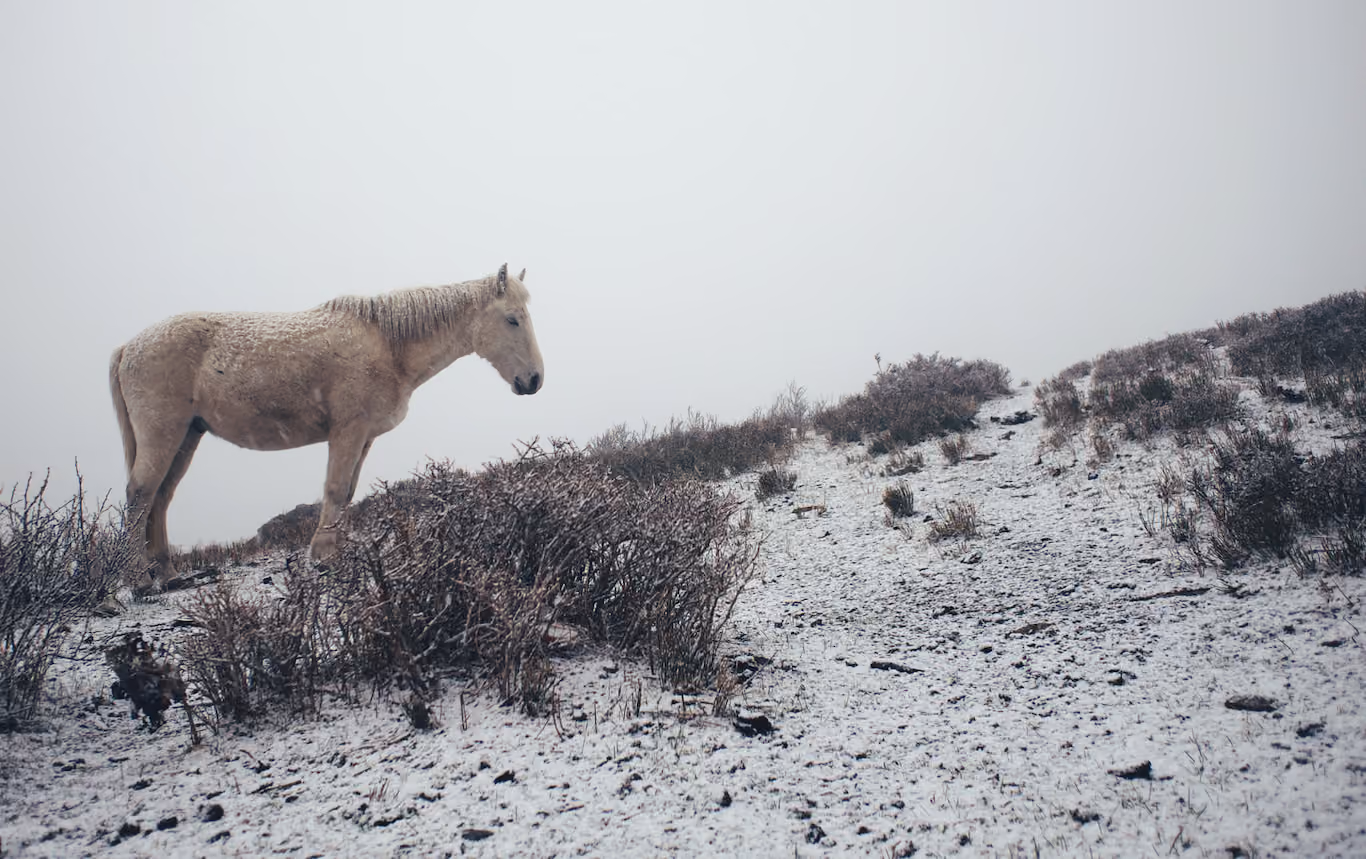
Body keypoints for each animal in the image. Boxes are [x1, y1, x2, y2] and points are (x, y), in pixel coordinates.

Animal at [110, 263, 544, 592]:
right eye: (512, 319)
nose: (534, 380)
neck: (389, 345)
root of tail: (129, 347)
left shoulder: (364, 437)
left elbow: (346, 493)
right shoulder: (348, 431)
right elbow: (334, 489)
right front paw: (321, 558)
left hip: (187, 435)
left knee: (160, 498)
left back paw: (167, 575)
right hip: (163, 434)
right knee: (140, 495)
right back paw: (139, 581)